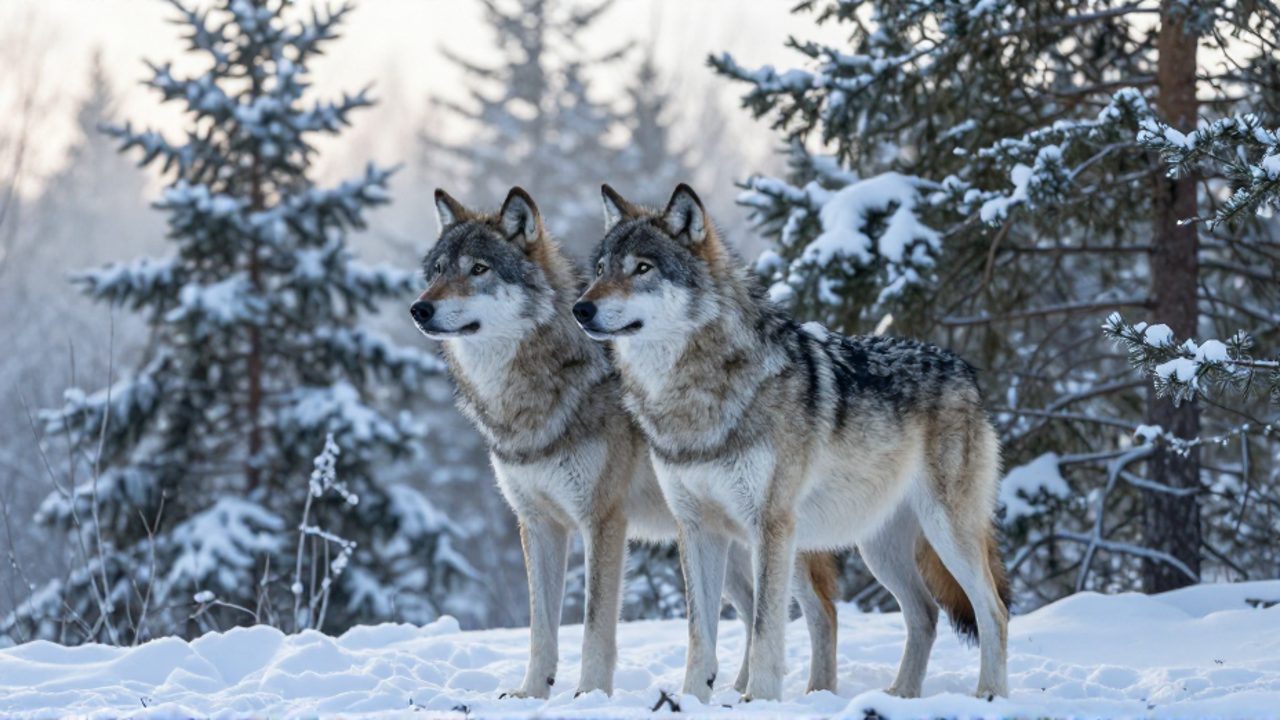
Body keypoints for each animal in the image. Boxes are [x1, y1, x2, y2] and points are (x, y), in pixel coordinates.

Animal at [409, 187, 840, 699]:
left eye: (478, 269)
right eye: (438, 271)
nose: (419, 308)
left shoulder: (603, 520)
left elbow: (595, 624)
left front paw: (588, 695)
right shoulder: (537, 524)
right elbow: (540, 627)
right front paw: (532, 694)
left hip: (781, 539)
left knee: (821, 612)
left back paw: (814, 694)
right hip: (720, 535)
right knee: (752, 608)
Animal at [573, 183, 1011, 703]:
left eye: (642, 268)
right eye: (602, 269)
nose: (580, 308)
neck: (693, 394)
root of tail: (964, 368)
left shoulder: (768, 525)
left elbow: (765, 630)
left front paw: (756, 701)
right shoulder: (697, 528)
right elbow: (700, 635)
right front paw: (693, 699)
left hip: (943, 532)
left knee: (993, 611)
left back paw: (989, 695)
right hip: (872, 547)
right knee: (924, 613)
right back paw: (899, 696)